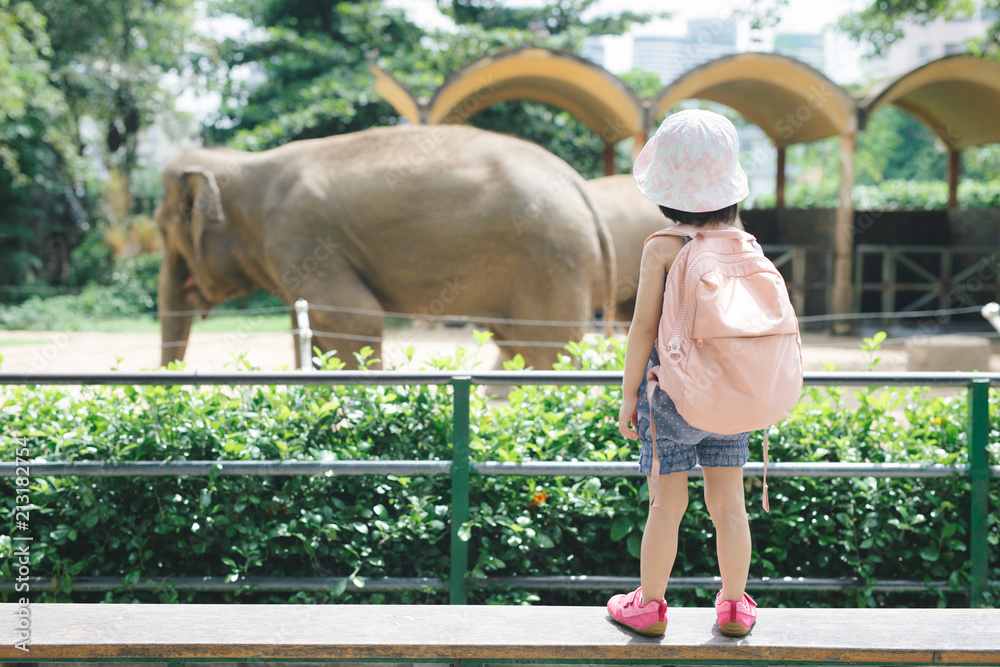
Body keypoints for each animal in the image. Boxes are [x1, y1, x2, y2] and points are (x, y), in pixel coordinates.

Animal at [154, 124, 616, 370]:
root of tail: (578, 185)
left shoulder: (301, 236)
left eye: (160, 230)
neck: (242, 163)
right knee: (520, 346)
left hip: (552, 265)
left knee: (550, 348)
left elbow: (354, 319)